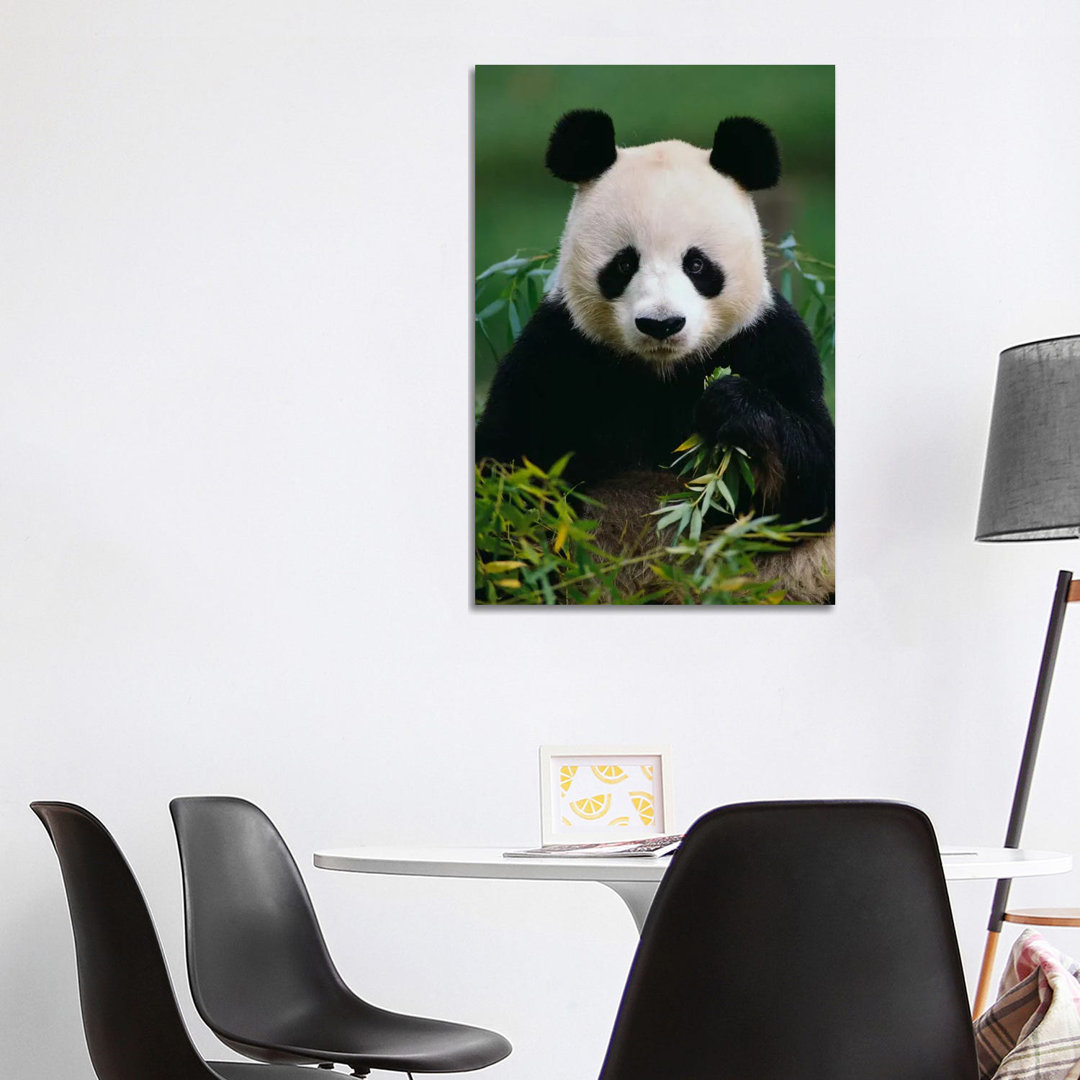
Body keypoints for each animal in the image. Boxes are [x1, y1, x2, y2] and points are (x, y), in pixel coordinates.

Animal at [475, 109, 835, 603]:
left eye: (697, 264)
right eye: (624, 264)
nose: (661, 324)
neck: (662, 371)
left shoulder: (770, 341)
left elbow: (812, 480)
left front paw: (731, 406)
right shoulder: (557, 351)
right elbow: (505, 476)